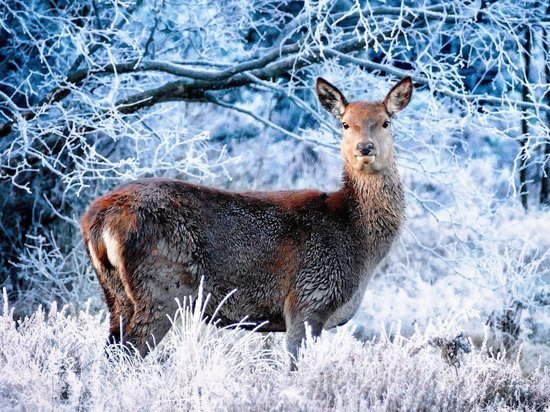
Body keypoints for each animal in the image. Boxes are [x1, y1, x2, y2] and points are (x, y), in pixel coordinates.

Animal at [80, 75, 412, 368]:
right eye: (345, 124)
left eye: (385, 122)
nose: (365, 148)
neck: (357, 239)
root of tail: (96, 220)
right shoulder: (308, 299)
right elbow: (295, 367)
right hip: (161, 288)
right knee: (128, 355)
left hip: (116, 294)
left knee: (110, 352)